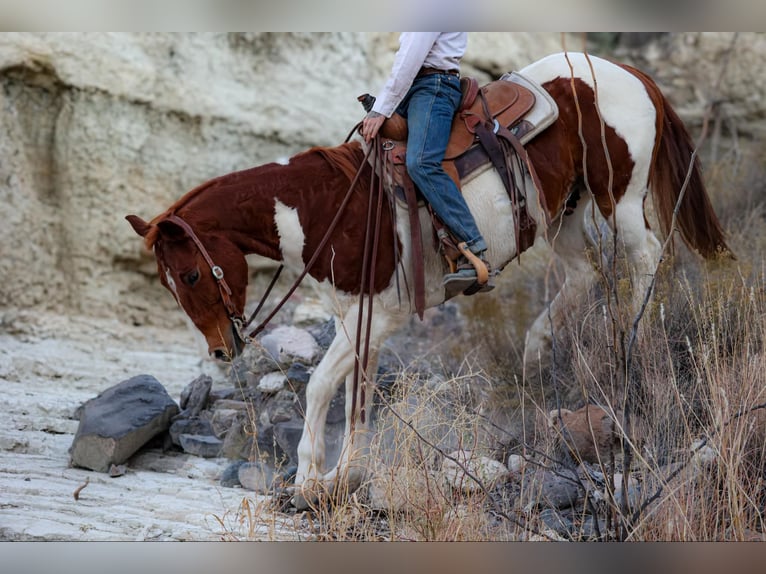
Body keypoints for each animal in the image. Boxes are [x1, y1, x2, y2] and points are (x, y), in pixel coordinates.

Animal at [126, 52, 730, 506]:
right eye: (172, 283)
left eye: (190, 273)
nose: (221, 351)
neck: (324, 207)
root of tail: (626, 72)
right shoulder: (357, 318)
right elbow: (357, 395)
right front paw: (340, 476)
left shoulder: (379, 314)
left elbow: (322, 386)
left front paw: (308, 478)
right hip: (562, 212)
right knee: (585, 271)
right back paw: (537, 353)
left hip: (619, 196)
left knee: (646, 256)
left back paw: (634, 334)